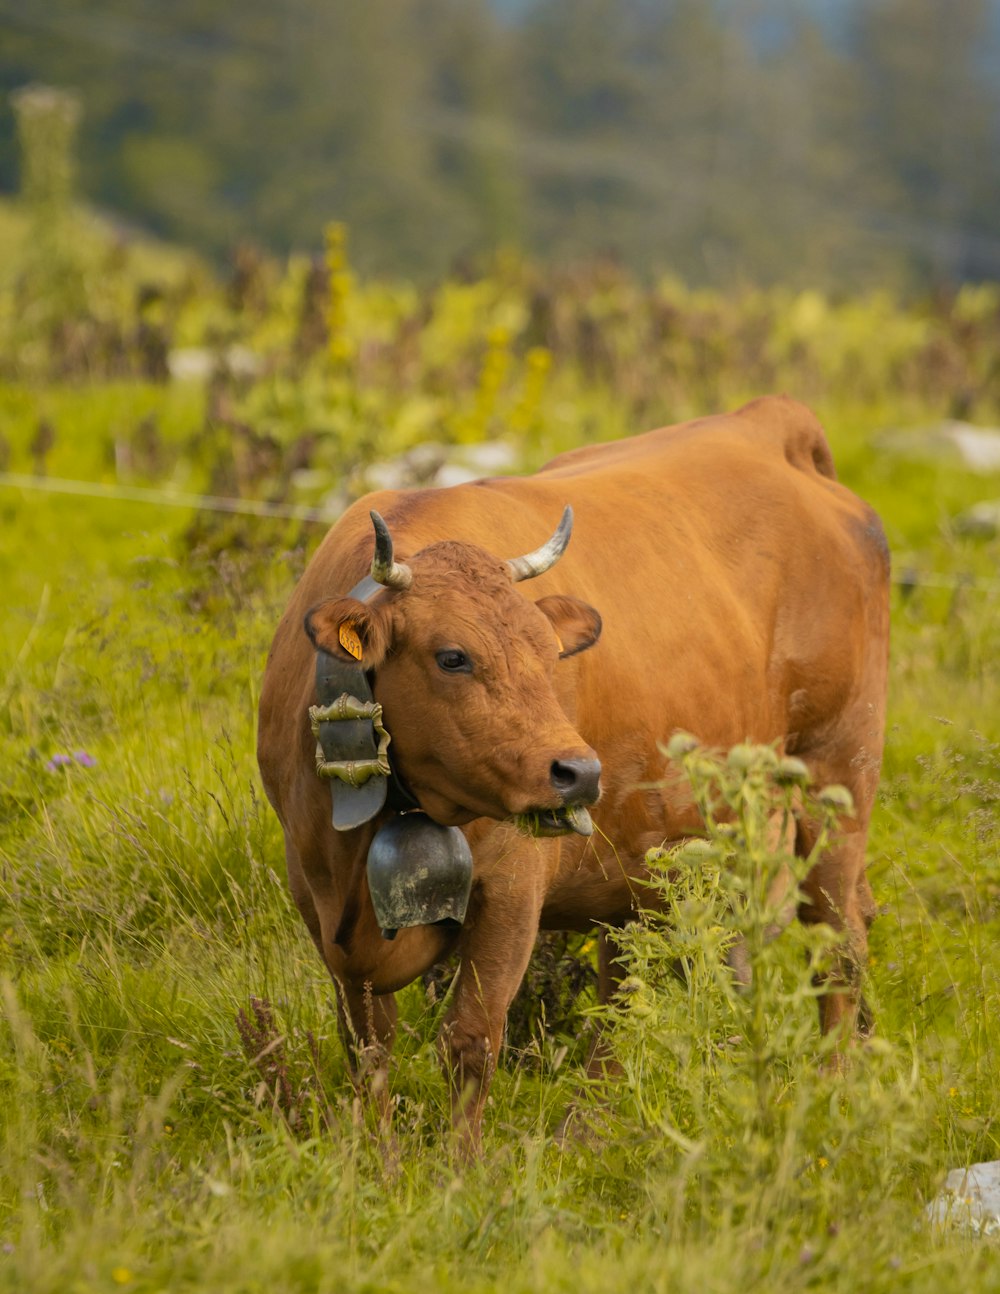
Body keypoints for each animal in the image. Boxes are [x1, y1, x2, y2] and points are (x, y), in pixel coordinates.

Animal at [260, 393, 890, 1154]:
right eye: (452, 656)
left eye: (548, 651)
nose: (579, 772)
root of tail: (768, 420)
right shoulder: (317, 901)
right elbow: (367, 1047)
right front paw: (377, 1160)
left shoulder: (511, 888)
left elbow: (470, 1039)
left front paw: (459, 1167)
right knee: (629, 991)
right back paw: (592, 1129)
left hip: (837, 767)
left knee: (837, 939)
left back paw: (834, 1087)